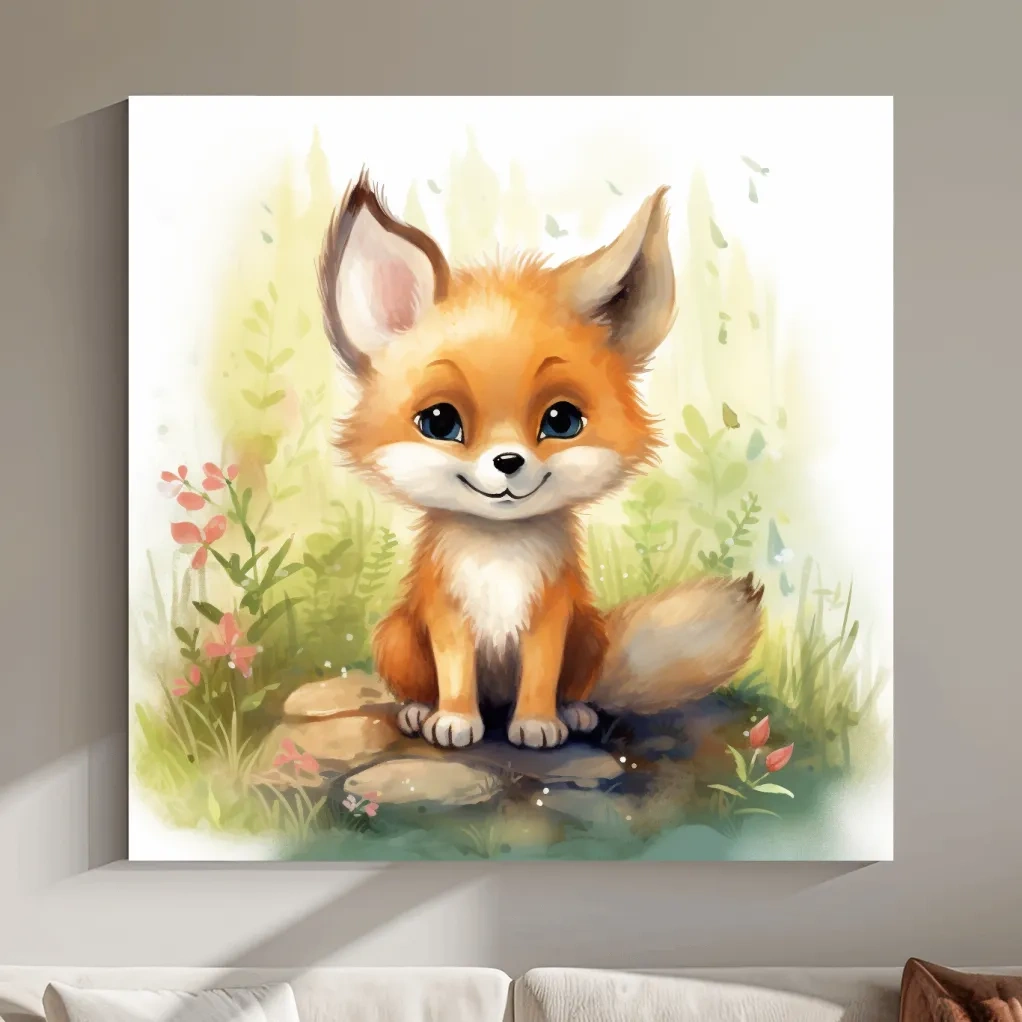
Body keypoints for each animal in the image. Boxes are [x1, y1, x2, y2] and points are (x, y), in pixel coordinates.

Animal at [316, 171, 763, 751]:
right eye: (439, 422)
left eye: (561, 421)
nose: (508, 462)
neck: (500, 555)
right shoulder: (447, 614)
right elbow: (455, 674)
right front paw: (455, 719)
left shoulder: (552, 615)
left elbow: (541, 675)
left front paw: (537, 722)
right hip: (395, 636)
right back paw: (419, 711)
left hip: (589, 634)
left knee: (578, 686)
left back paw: (574, 712)